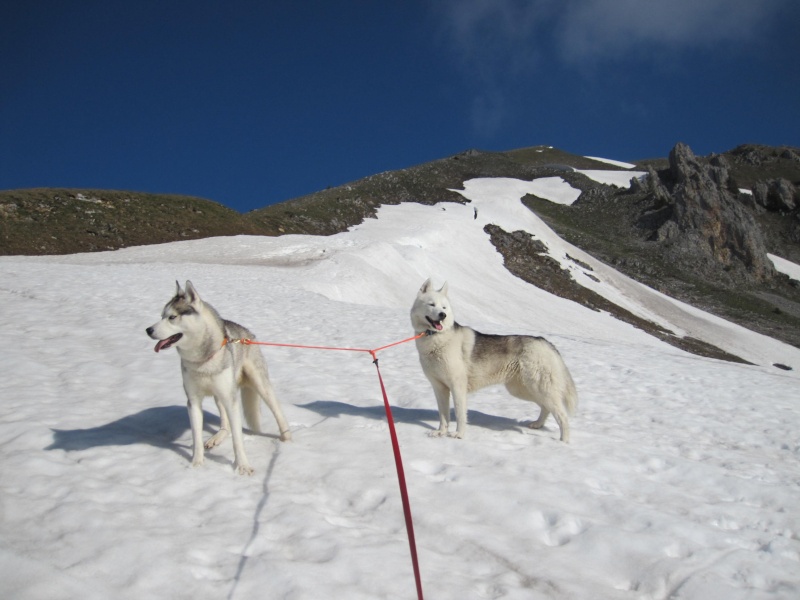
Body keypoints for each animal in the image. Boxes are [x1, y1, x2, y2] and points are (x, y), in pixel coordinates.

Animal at [147, 282, 290, 474]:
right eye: (161, 316)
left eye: (172, 317)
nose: (148, 330)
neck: (202, 361)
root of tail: (247, 334)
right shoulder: (193, 401)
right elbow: (197, 436)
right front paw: (196, 464)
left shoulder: (231, 399)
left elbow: (237, 439)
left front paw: (243, 466)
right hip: (219, 396)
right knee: (225, 425)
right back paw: (217, 437)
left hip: (259, 385)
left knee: (277, 413)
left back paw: (287, 439)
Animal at [412, 278, 576, 442]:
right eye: (432, 304)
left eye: (444, 307)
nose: (443, 315)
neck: (436, 340)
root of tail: (546, 343)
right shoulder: (439, 388)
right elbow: (443, 415)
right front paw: (441, 432)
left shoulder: (457, 387)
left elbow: (459, 414)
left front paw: (459, 434)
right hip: (522, 390)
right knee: (546, 408)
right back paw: (538, 424)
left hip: (538, 389)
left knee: (562, 416)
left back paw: (564, 441)